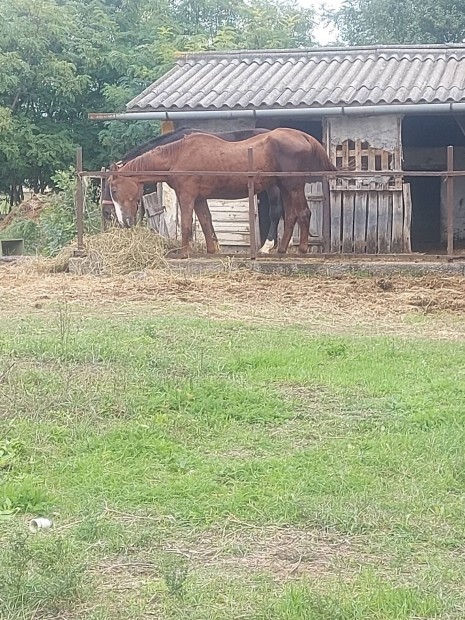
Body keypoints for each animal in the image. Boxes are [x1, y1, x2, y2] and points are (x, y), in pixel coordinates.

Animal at [107, 128, 336, 256]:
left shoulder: (187, 196)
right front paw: (212, 250)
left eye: (114, 190)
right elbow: (206, 222)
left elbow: (187, 225)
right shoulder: (199, 199)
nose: (124, 222)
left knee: (302, 213)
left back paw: (298, 249)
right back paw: (280, 249)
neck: (177, 156)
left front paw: (183, 252)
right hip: (285, 187)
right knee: (290, 216)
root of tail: (302, 136)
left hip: (292, 186)